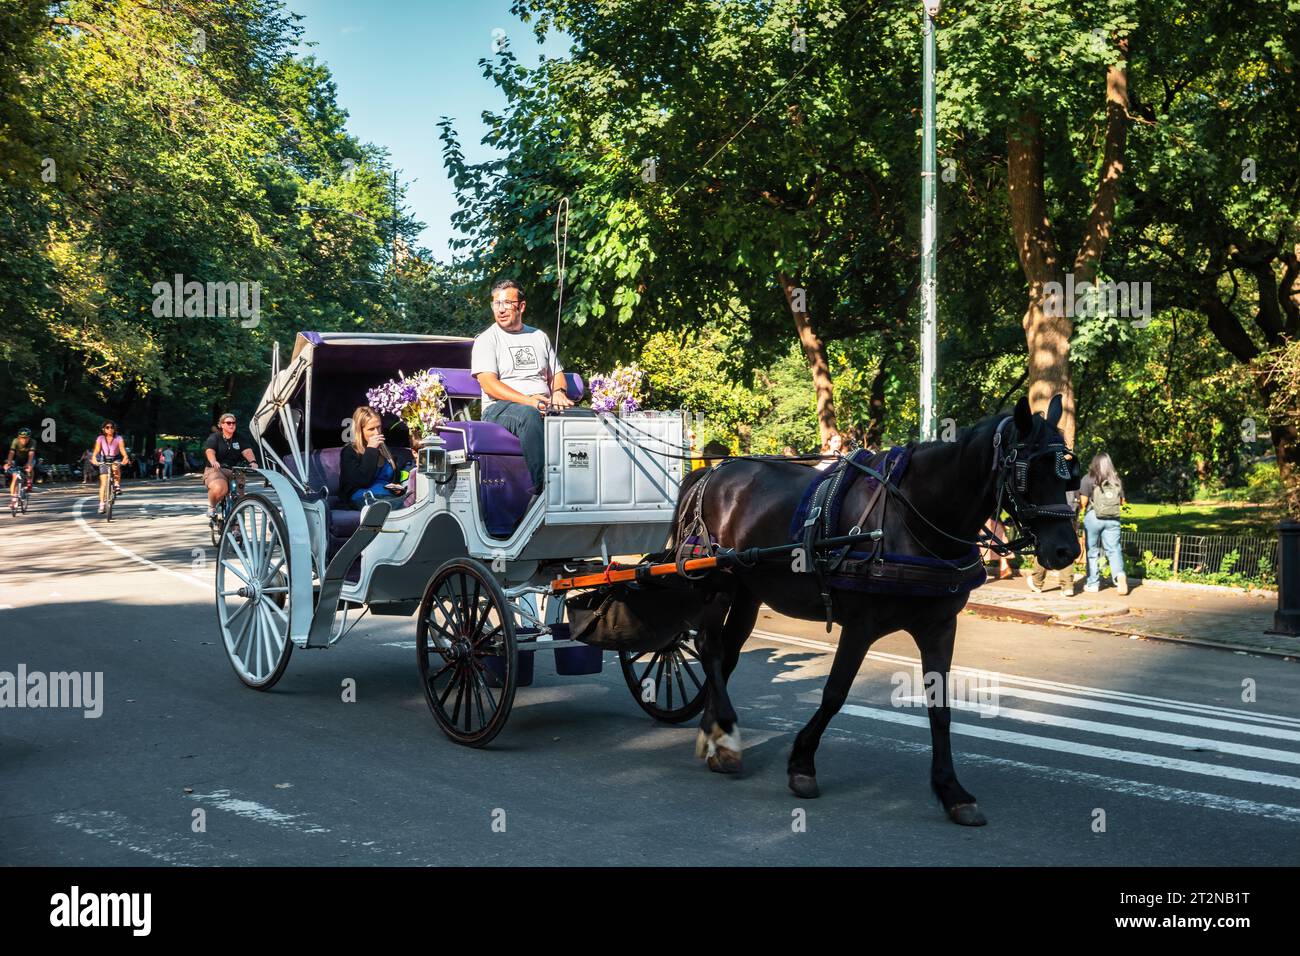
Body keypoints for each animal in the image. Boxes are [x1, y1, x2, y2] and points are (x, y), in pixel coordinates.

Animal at [676, 400, 1081, 827]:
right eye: (1027, 471)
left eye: (1069, 474)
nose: (1067, 551)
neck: (914, 517)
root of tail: (713, 472)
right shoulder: (860, 626)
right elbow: (835, 693)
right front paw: (802, 764)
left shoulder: (940, 627)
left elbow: (940, 708)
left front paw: (951, 791)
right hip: (717, 584)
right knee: (711, 649)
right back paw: (725, 735)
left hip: (748, 592)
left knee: (728, 654)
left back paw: (715, 734)